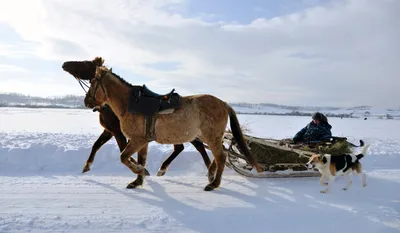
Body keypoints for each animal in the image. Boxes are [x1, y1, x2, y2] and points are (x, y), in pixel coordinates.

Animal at [61, 57, 262, 191]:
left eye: (93, 81)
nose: (86, 101)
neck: (130, 104)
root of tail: (224, 103)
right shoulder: (141, 141)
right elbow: (139, 158)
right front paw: (138, 180)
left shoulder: (135, 139)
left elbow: (124, 157)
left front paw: (141, 171)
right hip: (207, 136)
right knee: (218, 155)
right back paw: (210, 174)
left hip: (210, 136)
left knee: (220, 156)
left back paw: (213, 183)